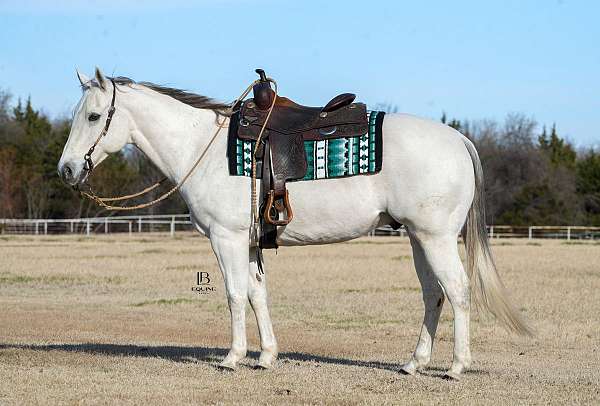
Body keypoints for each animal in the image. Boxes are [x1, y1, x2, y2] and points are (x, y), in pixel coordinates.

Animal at [59, 67, 528, 380]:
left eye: (94, 117)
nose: (67, 170)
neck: (202, 148)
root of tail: (459, 139)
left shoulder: (227, 239)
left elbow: (234, 295)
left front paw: (232, 357)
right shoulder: (250, 244)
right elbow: (256, 294)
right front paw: (266, 356)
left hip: (436, 238)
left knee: (458, 291)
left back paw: (456, 366)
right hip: (418, 238)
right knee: (434, 294)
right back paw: (415, 363)